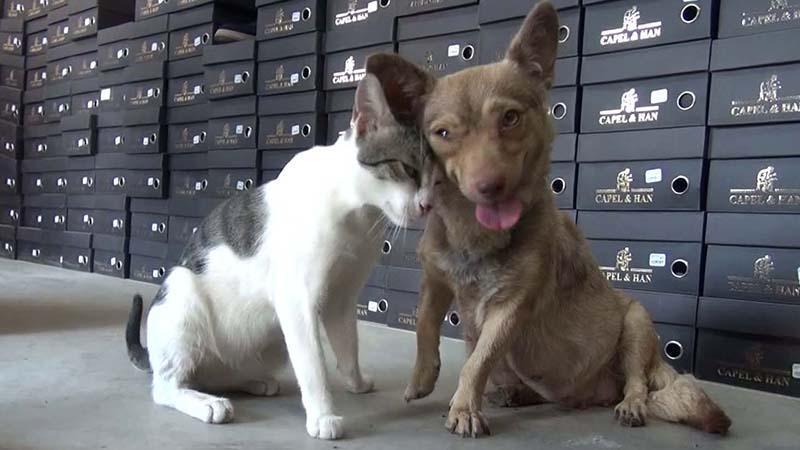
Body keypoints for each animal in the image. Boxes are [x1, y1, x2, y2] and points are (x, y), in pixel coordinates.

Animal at [125, 74, 435, 440]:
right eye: (407, 168)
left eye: (438, 178)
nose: (427, 205)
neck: (357, 216)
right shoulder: (297, 300)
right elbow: (314, 365)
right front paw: (323, 416)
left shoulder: (342, 297)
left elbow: (348, 347)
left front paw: (356, 383)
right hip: (182, 290)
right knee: (167, 387)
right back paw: (208, 404)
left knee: (212, 376)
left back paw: (254, 382)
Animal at [366, 1, 731, 438]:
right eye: (443, 133)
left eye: (510, 118)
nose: (490, 186)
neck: (474, 234)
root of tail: (590, 395)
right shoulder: (435, 280)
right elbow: (424, 325)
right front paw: (422, 379)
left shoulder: (510, 309)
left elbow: (477, 361)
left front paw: (465, 406)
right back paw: (516, 393)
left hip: (636, 321)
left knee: (638, 381)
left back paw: (629, 405)